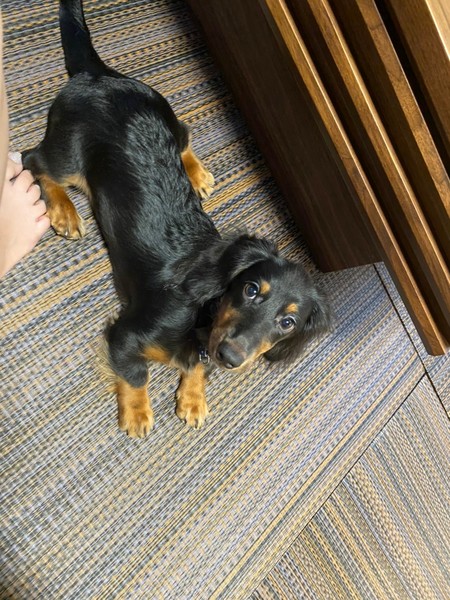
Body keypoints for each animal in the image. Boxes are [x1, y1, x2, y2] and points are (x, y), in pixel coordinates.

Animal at [23, 0, 332, 437]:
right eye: (251, 289)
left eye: (288, 322)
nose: (231, 357)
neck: (203, 318)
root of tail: (99, 75)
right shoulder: (125, 333)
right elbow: (136, 372)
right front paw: (137, 414)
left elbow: (197, 368)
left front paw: (193, 397)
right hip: (67, 154)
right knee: (35, 162)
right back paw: (63, 210)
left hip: (165, 110)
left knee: (183, 135)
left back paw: (197, 174)